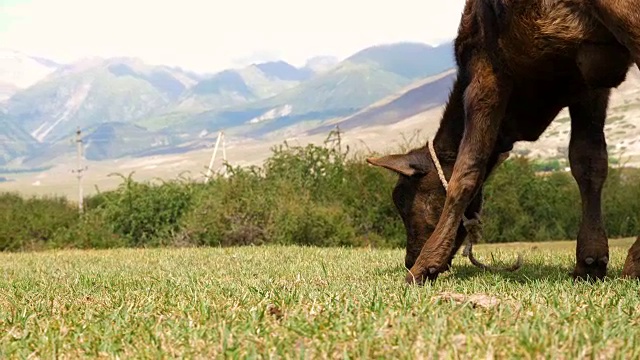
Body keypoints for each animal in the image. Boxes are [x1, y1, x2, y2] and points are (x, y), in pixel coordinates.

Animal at [364, 0, 640, 286]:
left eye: (403, 201)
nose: (409, 259)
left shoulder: (486, 69)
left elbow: (467, 169)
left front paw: (426, 265)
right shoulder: (589, 81)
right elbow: (589, 163)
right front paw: (590, 261)